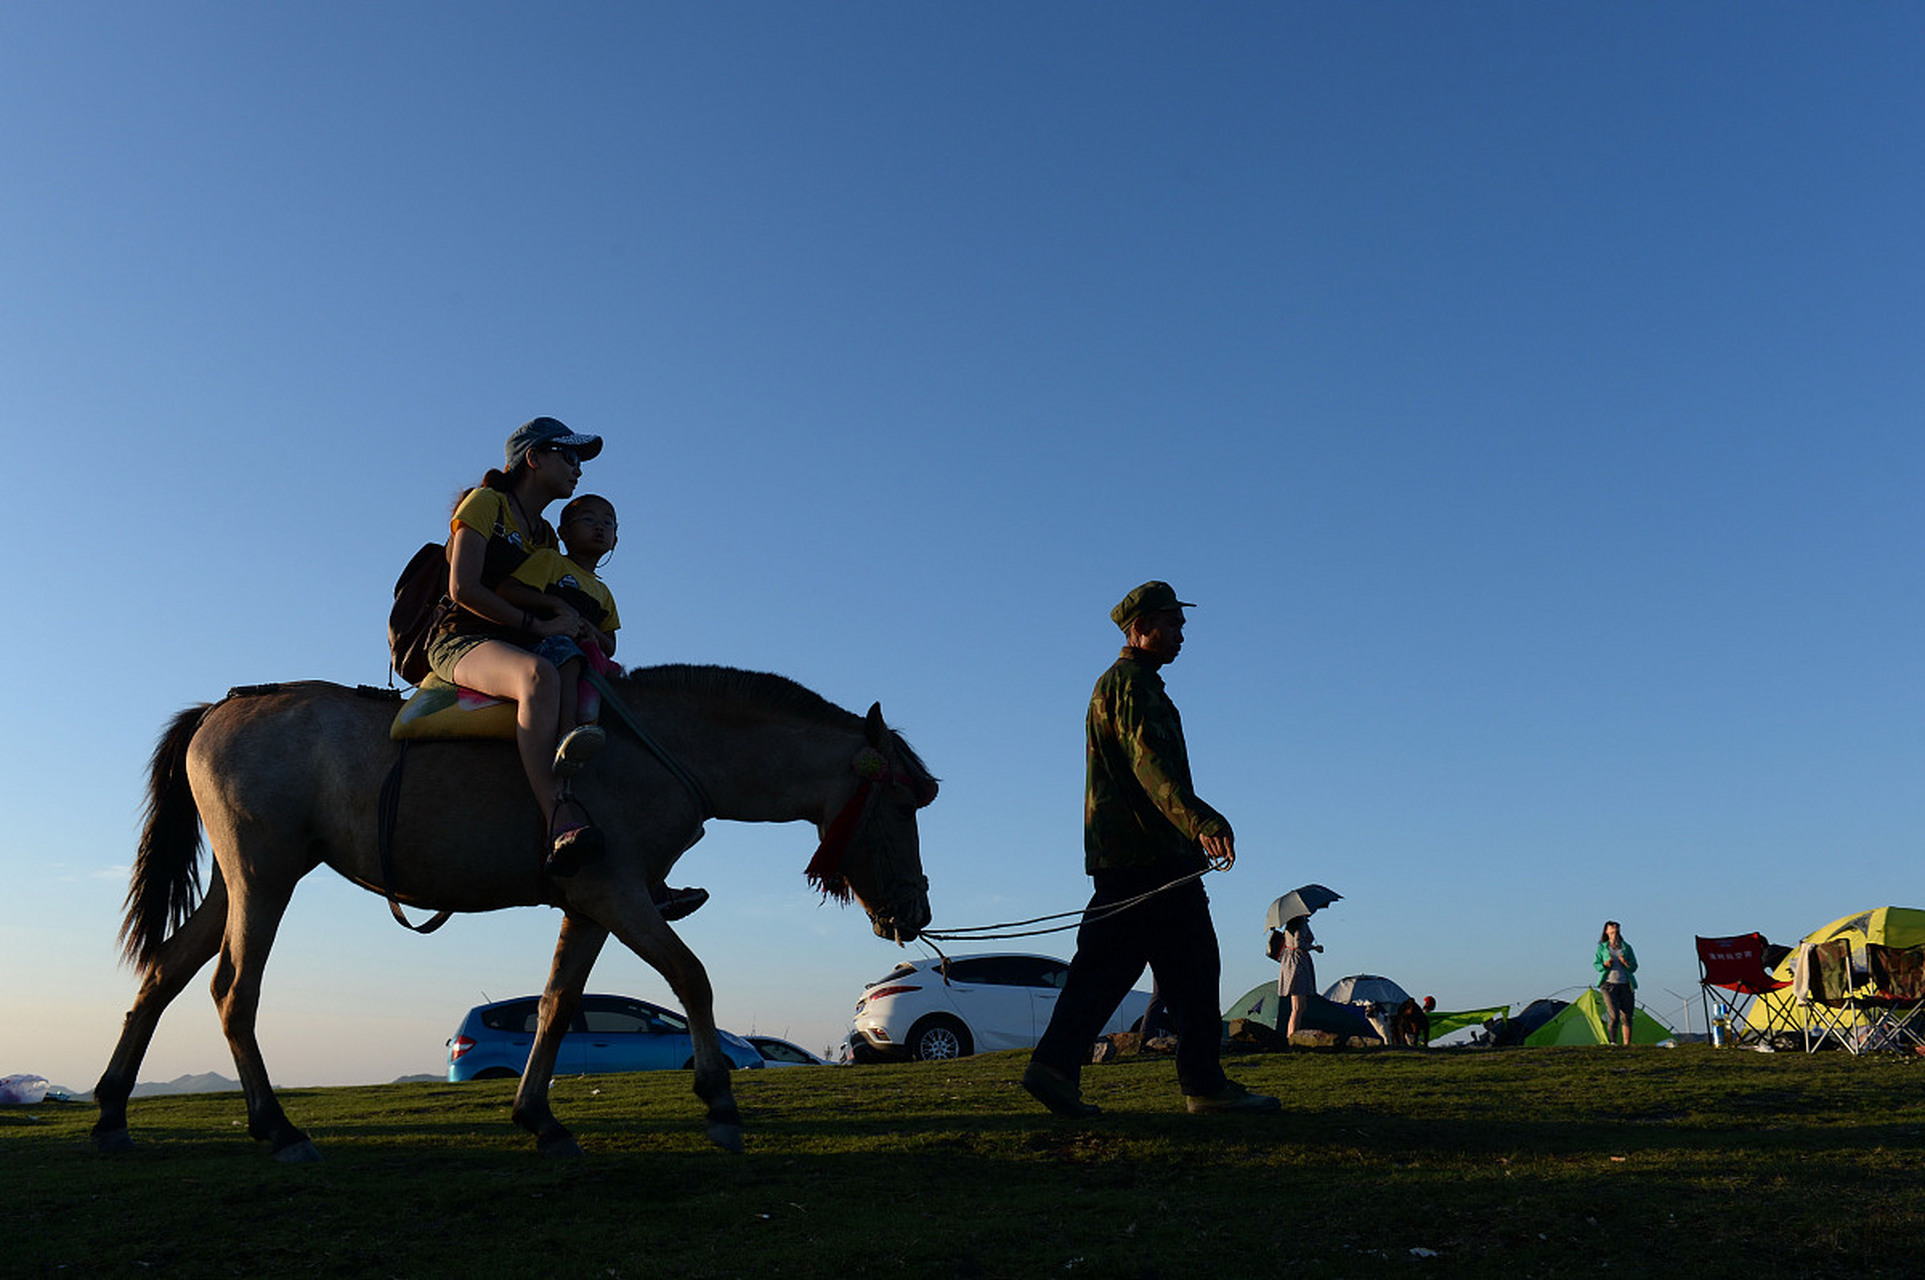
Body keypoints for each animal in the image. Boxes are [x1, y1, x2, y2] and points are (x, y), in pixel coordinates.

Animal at [93, 669, 935, 1154]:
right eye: (900, 803)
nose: (915, 907)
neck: (663, 748)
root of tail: (219, 708)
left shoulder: (590, 903)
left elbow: (558, 1007)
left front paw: (539, 1116)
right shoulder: (616, 891)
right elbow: (690, 977)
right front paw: (718, 1100)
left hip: (238, 886)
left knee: (163, 975)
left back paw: (110, 1113)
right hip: (264, 877)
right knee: (234, 992)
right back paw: (274, 1126)